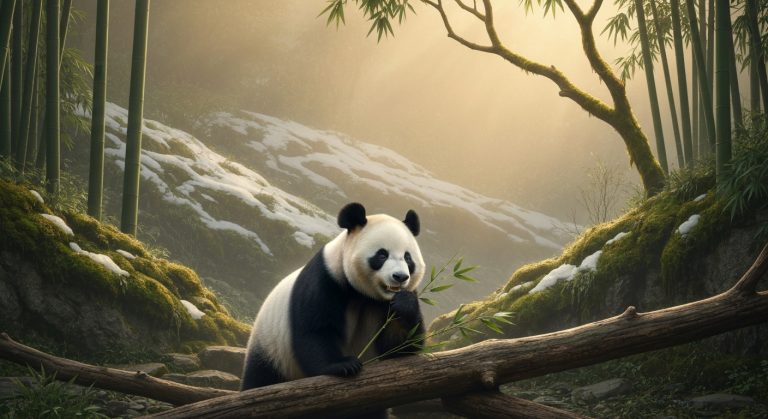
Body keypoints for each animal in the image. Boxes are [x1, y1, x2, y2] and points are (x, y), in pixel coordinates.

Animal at [241, 202, 426, 418]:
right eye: (382, 255)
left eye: (408, 258)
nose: (400, 277)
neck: (365, 295)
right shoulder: (327, 277)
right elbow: (316, 329)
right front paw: (344, 364)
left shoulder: (387, 303)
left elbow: (400, 346)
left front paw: (405, 303)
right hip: (272, 349)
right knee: (261, 378)